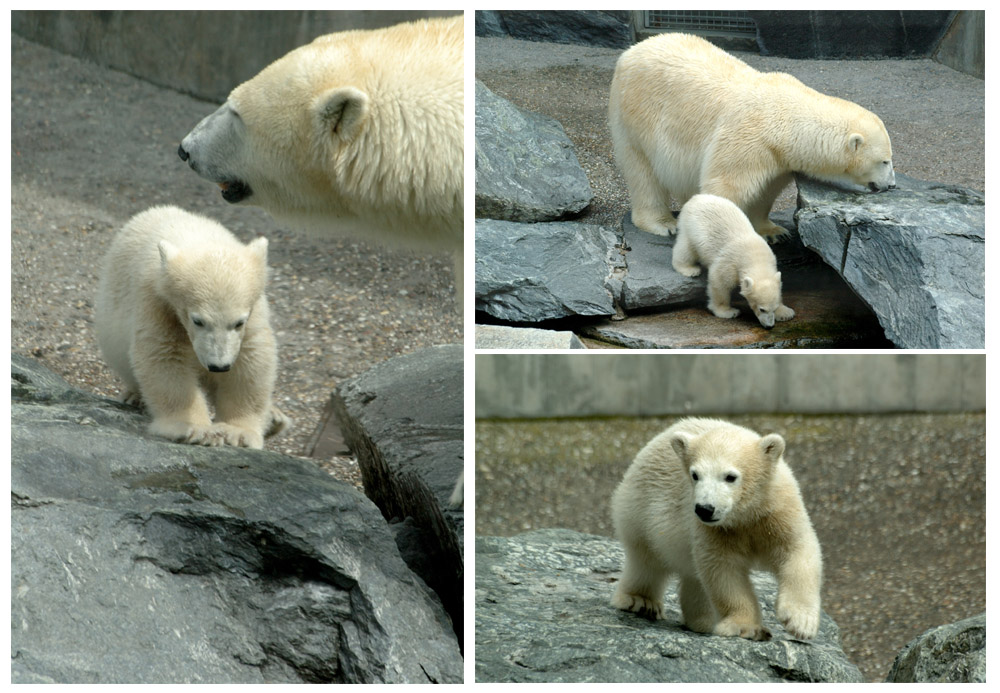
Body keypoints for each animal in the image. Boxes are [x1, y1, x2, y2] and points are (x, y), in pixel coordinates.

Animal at [95, 204, 290, 448]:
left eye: (238, 322)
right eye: (198, 321)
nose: (219, 365)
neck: (196, 238)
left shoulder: (255, 313)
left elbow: (250, 358)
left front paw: (238, 432)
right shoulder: (157, 301)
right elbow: (164, 355)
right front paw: (195, 429)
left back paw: (274, 418)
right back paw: (134, 396)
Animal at [608, 31, 900, 238]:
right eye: (885, 161)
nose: (892, 184)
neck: (785, 119)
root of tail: (630, 52)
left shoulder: (778, 159)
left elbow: (764, 193)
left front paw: (774, 232)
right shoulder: (746, 142)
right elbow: (724, 188)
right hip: (635, 116)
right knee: (643, 172)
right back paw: (663, 223)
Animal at [612, 416, 824, 636]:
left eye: (730, 476)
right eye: (695, 475)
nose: (705, 509)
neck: (744, 515)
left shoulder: (777, 512)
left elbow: (797, 551)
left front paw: (800, 621)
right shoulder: (714, 530)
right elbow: (723, 569)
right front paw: (744, 627)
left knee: (691, 575)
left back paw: (700, 621)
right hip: (640, 511)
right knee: (646, 560)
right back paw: (642, 601)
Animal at [672, 192, 796, 328]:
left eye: (773, 308)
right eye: (762, 309)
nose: (769, 326)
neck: (755, 256)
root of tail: (696, 197)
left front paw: (785, 312)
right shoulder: (730, 263)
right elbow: (719, 282)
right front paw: (728, 311)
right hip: (692, 227)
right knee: (686, 248)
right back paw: (689, 269)